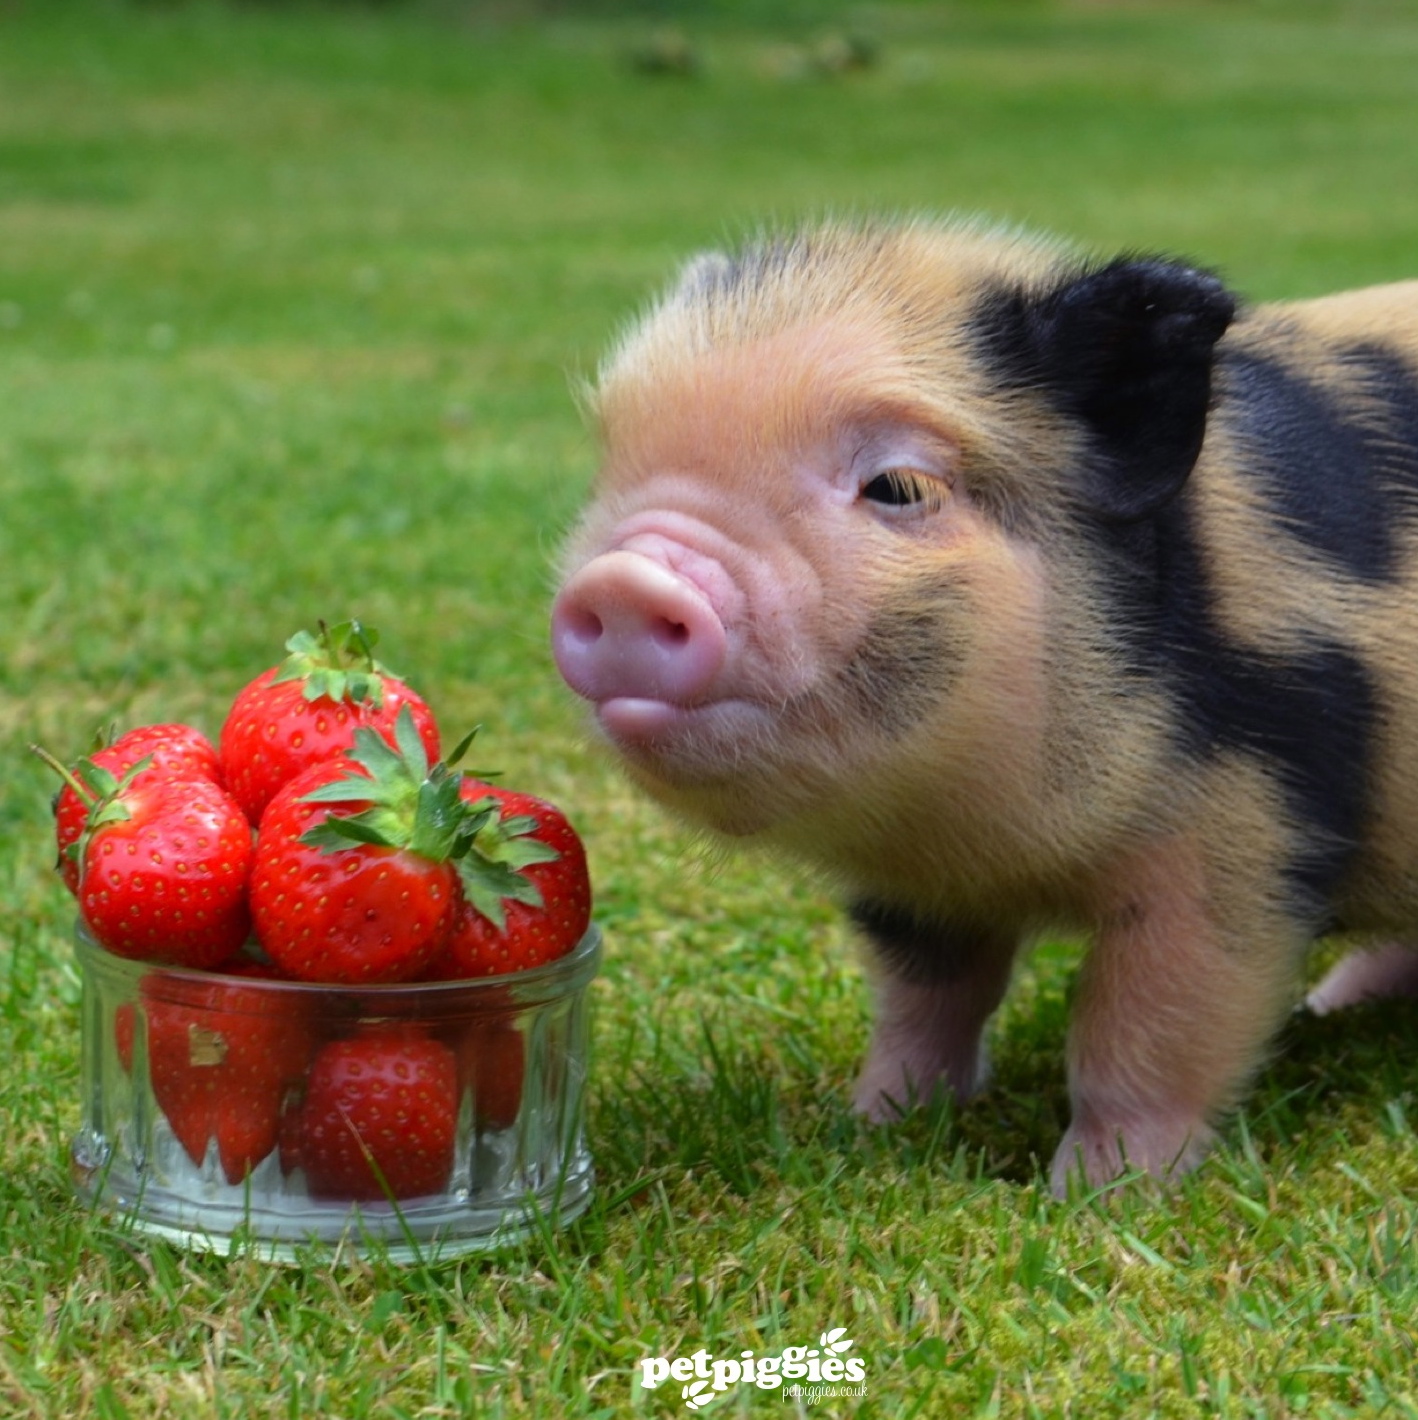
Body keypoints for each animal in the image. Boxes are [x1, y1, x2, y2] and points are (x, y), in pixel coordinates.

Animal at [550, 219, 1418, 1193]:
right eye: (613, 470)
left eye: (897, 486)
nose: (627, 580)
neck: (990, 840)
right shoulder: (911, 889)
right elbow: (925, 1000)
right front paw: (874, 1128)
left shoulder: (1242, 827)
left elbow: (1148, 1023)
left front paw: (1096, 1194)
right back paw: (1335, 1003)